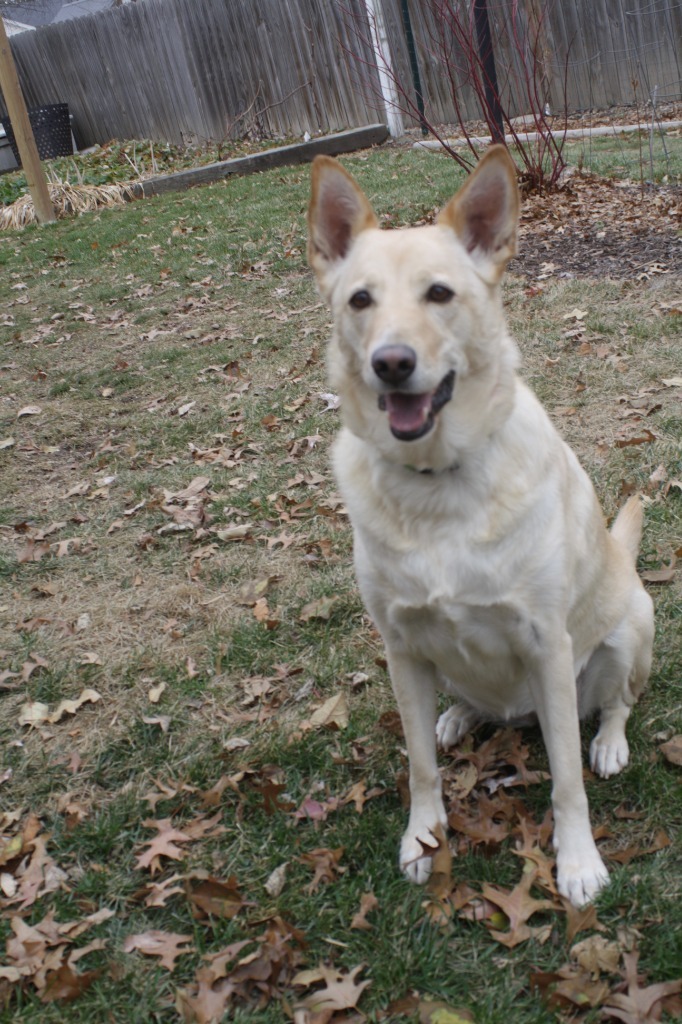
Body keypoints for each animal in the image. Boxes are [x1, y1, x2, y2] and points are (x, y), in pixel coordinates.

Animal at [307, 146, 655, 905]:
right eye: (360, 301)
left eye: (440, 294)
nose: (391, 363)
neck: (437, 481)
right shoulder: (401, 647)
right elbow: (420, 767)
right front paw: (422, 839)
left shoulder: (547, 645)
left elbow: (566, 779)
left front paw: (577, 862)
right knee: (469, 709)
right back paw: (459, 716)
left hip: (629, 626)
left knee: (616, 704)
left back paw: (610, 742)